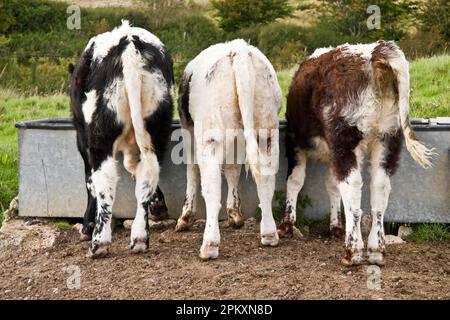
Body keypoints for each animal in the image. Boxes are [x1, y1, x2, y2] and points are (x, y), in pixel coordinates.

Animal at [69, 21, 173, 258]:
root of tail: (129, 41)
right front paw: (158, 206)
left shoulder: (82, 140)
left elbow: (89, 181)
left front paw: (87, 226)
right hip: (157, 130)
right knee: (148, 175)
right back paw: (140, 238)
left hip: (99, 137)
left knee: (105, 180)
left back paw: (99, 243)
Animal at [175, 39, 282, 260]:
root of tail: (238, 49)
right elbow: (233, 170)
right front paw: (235, 214)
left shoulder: (188, 132)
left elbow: (192, 171)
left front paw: (185, 217)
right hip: (266, 132)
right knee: (266, 181)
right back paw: (269, 234)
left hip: (211, 136)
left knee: (212, 187)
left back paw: (209, 245)